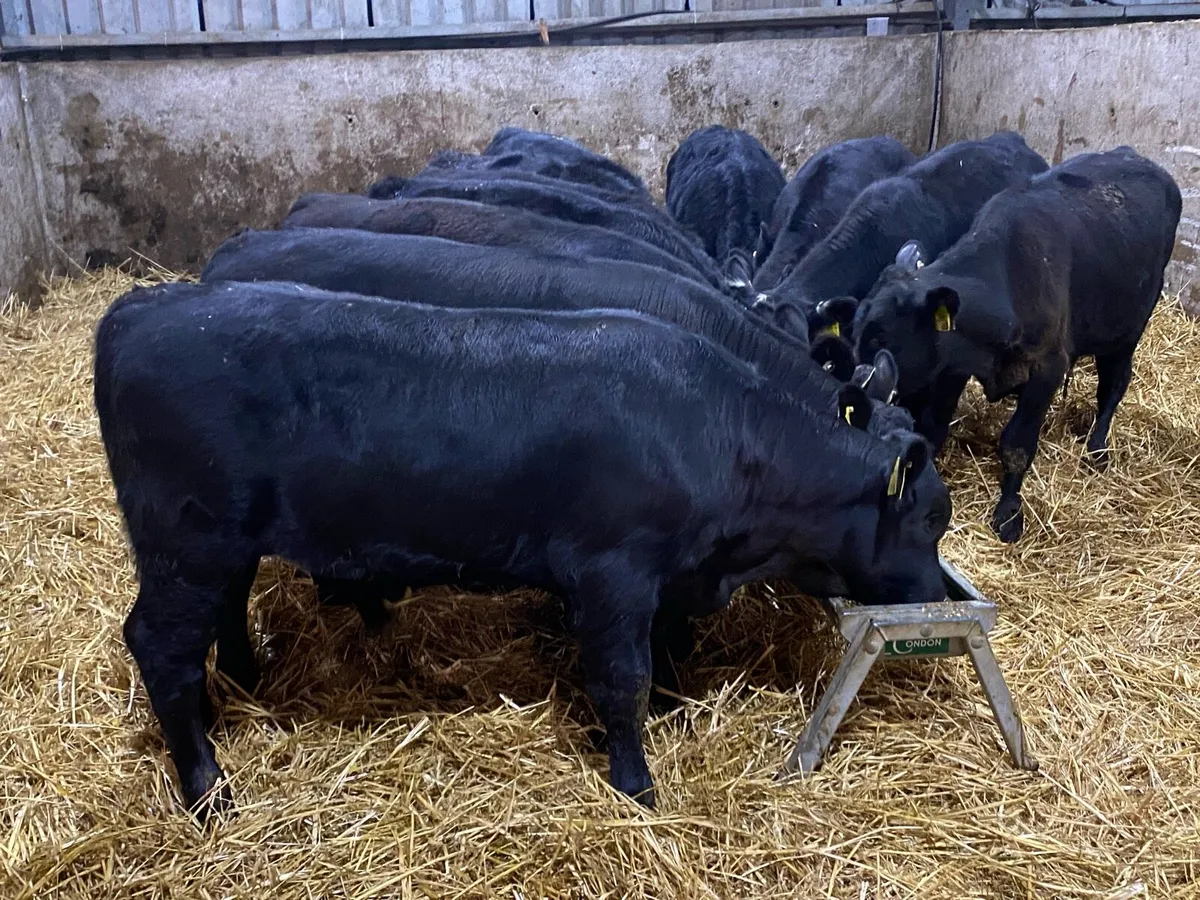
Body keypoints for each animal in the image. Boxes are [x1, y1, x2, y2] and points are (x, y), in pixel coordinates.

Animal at [94, 280, 951, 819]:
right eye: (930, 520)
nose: (942, 593)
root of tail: (143, 307)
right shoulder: (612, 572)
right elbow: (622, 680)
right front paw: (637, 787)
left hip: (221, 546)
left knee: (219, 617)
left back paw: (241, 683)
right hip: (188, 540)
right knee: (160, 646)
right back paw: (208, 791)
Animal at [852, 146, 1181, 542]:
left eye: (882, 338)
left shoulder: (1047, 369)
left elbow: (1017, 445)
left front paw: (1009, 514)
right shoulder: (953, 365)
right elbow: (934, 425)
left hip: (1127, 330)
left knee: (1113, 387)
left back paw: (1097, 449)